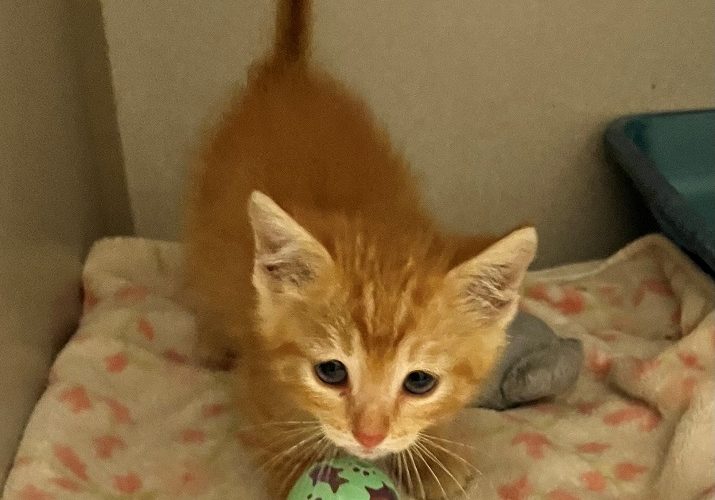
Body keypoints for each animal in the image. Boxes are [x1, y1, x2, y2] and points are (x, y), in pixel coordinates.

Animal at [183, 0, 537, 497]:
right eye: (331, 372)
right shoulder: (259, 384)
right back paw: (212, 340)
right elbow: (277, 440)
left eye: (420, 382)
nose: (369, 437)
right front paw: (300, 472)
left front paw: (436, 464)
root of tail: (289, 72)